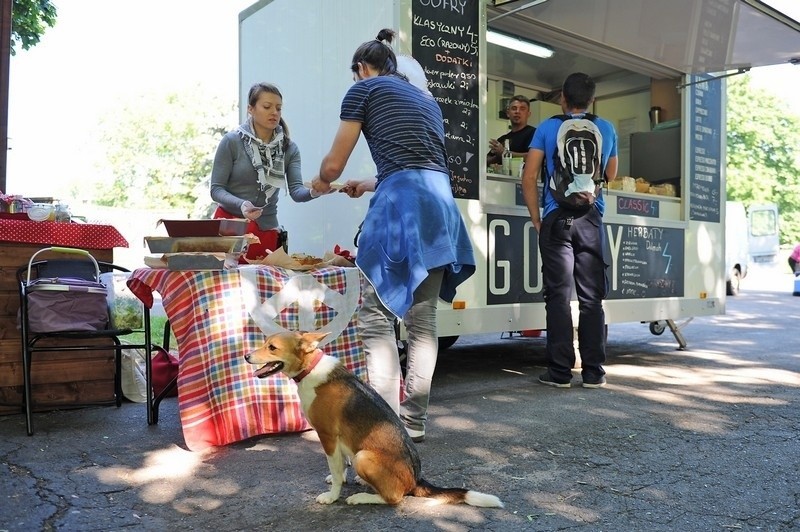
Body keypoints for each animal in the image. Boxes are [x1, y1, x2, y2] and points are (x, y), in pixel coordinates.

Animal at [245, 330, 506, 510]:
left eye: (272, 347)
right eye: (265, 342)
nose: (246, 356)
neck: (310, 368)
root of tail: (416, 479)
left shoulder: (327, 435)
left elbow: (336, 469)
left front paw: (333, 496)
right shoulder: (338, 440)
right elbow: (341, 464)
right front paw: (340, 478)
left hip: (363, 457)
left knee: (394, 498)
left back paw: (362, 497)